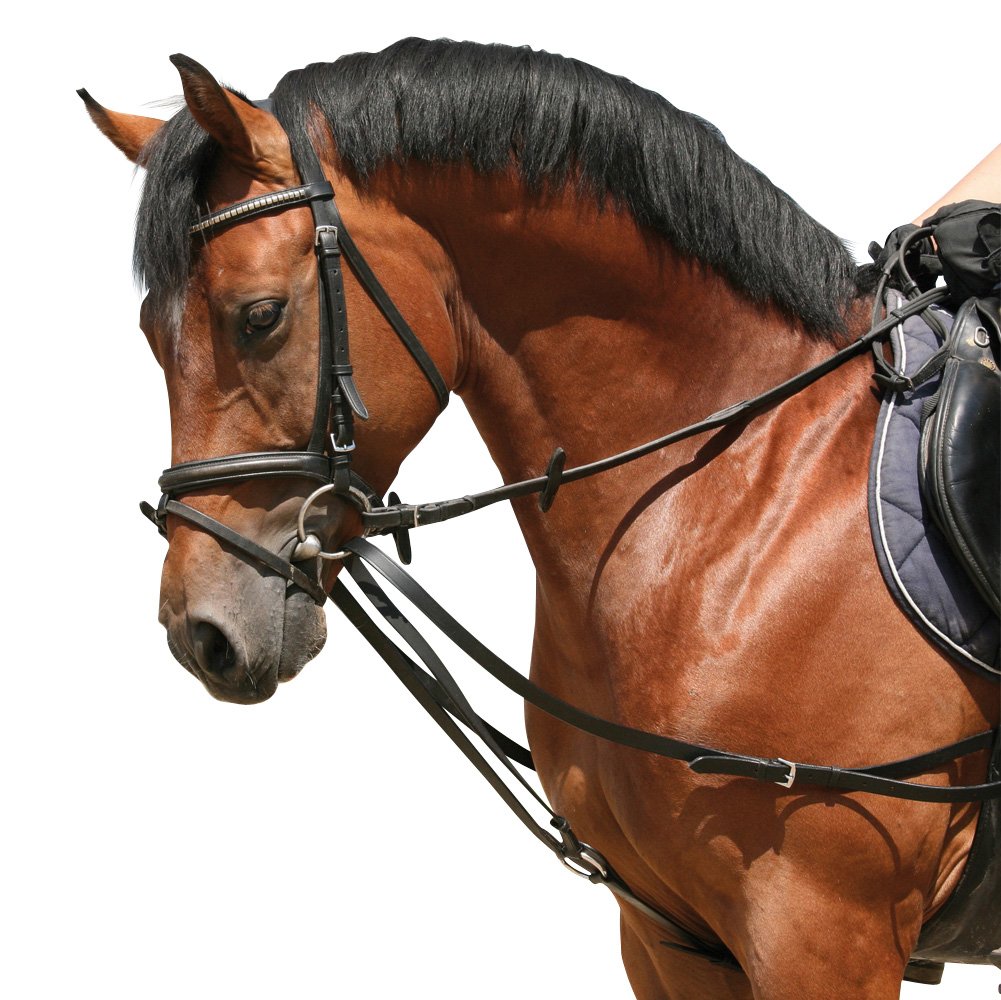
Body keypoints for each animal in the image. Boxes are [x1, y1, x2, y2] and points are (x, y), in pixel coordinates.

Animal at [80, 38, 999, 999]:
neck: (733, 507)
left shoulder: (820, 929)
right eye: (149, 331)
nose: (201, 633)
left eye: (259, 317)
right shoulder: (665, 935)